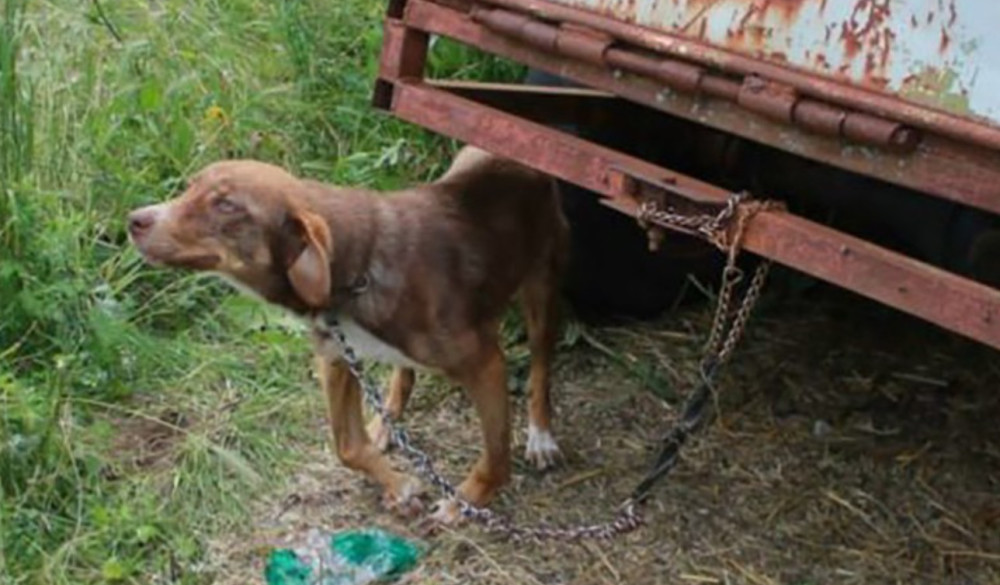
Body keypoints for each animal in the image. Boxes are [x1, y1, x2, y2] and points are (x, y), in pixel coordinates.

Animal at [127, 146, 572, 524]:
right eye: (190, 186)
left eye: (226, 205)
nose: (135, 219)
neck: (354, 271)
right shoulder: (338, 359)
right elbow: (347, 447)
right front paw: (400, 486)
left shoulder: (484, 364)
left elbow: (496, 455)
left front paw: (466, 501)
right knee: (403, 373)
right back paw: (387, 421)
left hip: (542, 289)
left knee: (540, 366)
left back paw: (540, 436)